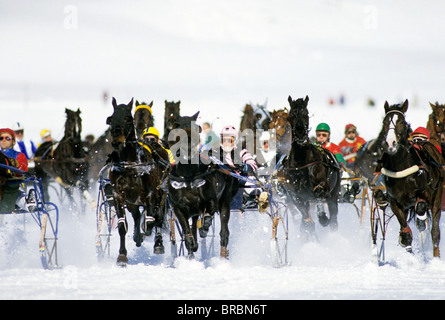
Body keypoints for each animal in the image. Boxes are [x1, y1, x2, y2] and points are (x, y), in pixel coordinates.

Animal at [106, 97, 170, 264]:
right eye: (111, 119)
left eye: (128, 119)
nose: (116, 141)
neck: (130, 164)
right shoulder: (119, 195)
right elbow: (123, 226)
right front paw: (122, 255)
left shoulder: (150, 193)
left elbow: (150, 221)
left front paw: (149, 234)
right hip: (132, 201)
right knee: (135, 215)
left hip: (162, 193)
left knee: (158, 216)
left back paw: (157, 243)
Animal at [166, 111, 238, 258]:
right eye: (177, 127)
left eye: (196, 128)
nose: (188, 148)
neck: (188, 176)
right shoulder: (178, 207)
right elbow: (187, 233)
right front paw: (191, 250)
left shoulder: (211, 200)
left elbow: (207, 218)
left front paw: (204, 229)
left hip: (225, 199)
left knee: (224, 229)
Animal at [280, 95, 340, 235]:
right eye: (292, 114)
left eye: (306, 113)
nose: (300, 133)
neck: (301, 162)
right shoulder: (295, 194)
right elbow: (304, 215)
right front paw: (307, 225)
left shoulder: (323, 185)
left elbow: (319, 191)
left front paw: (322, 217)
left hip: (334, 193)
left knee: (333, 216)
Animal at [374, 100, 444, 258]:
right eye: (384, 122)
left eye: (402, 122)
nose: (391, 143)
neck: (401, 168)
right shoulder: (395, 201)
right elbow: (406, 234)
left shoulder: (426, 193)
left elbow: (421, 207)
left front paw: (421, 223)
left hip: (438, 196)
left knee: (434, 231)